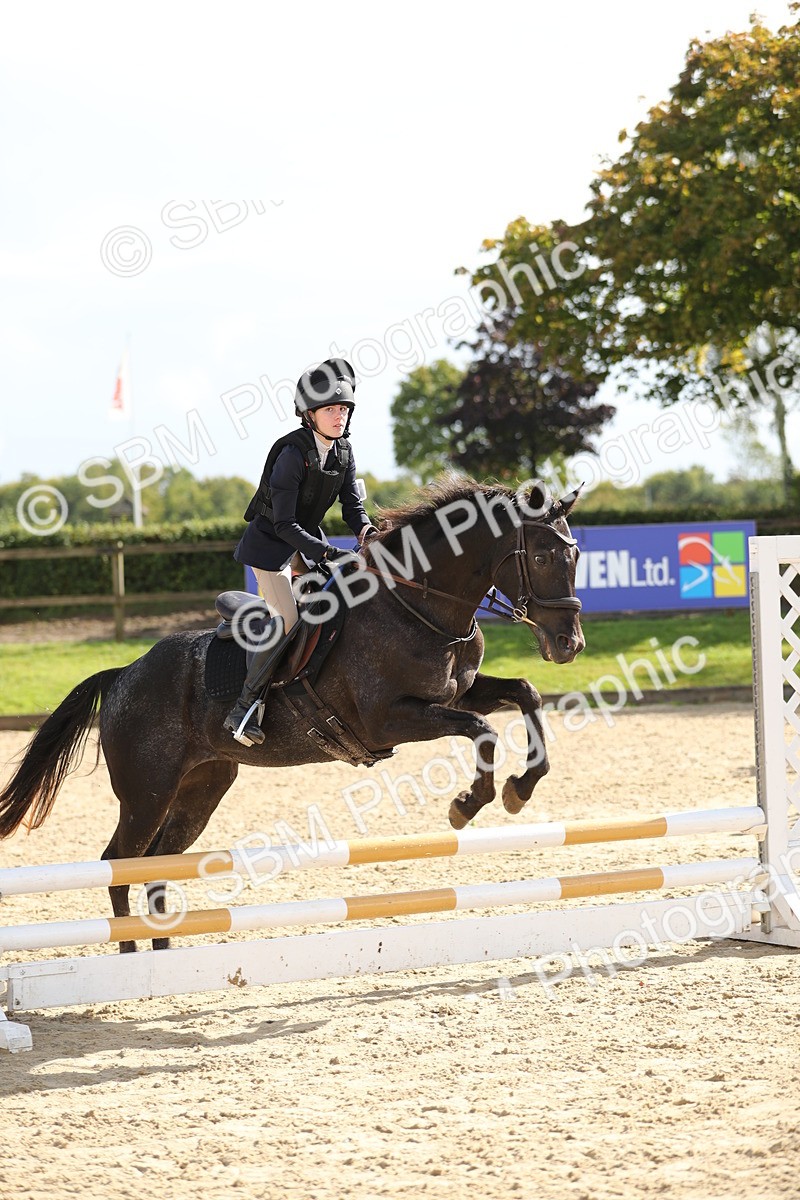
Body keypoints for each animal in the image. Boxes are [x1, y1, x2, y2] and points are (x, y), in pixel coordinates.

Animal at [0, 477, 584, 950]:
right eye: (545, 557)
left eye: (575, 557)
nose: (569, 644)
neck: (418, 606)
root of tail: (123, 674)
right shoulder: (390, 719)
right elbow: (481, 730)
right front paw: (468, 804)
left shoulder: (457, 694)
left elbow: (526, 694)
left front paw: (521, 788)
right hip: (147, 792)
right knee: (118, 862)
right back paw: (129, 956)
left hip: (201, 789)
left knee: (159, 862)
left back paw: (162, 954)